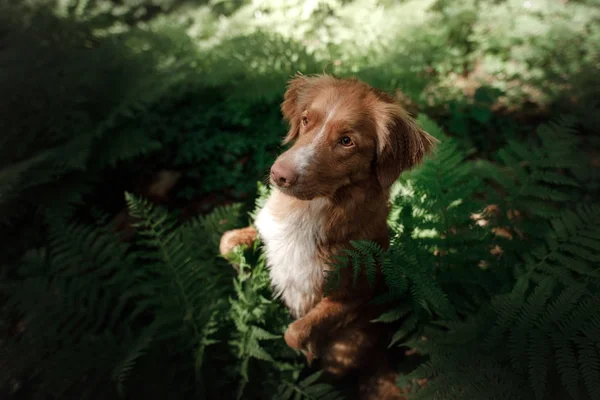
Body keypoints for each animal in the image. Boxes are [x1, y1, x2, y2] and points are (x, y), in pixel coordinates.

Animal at [220, 73, 436, 398]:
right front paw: (242, 267)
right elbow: (225, 242)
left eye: (346, 141)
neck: (309, 212)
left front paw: (304, 354)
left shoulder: (352, 295)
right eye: (306, 120)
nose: (278, 174)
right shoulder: (266, 231)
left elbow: (295, 333)